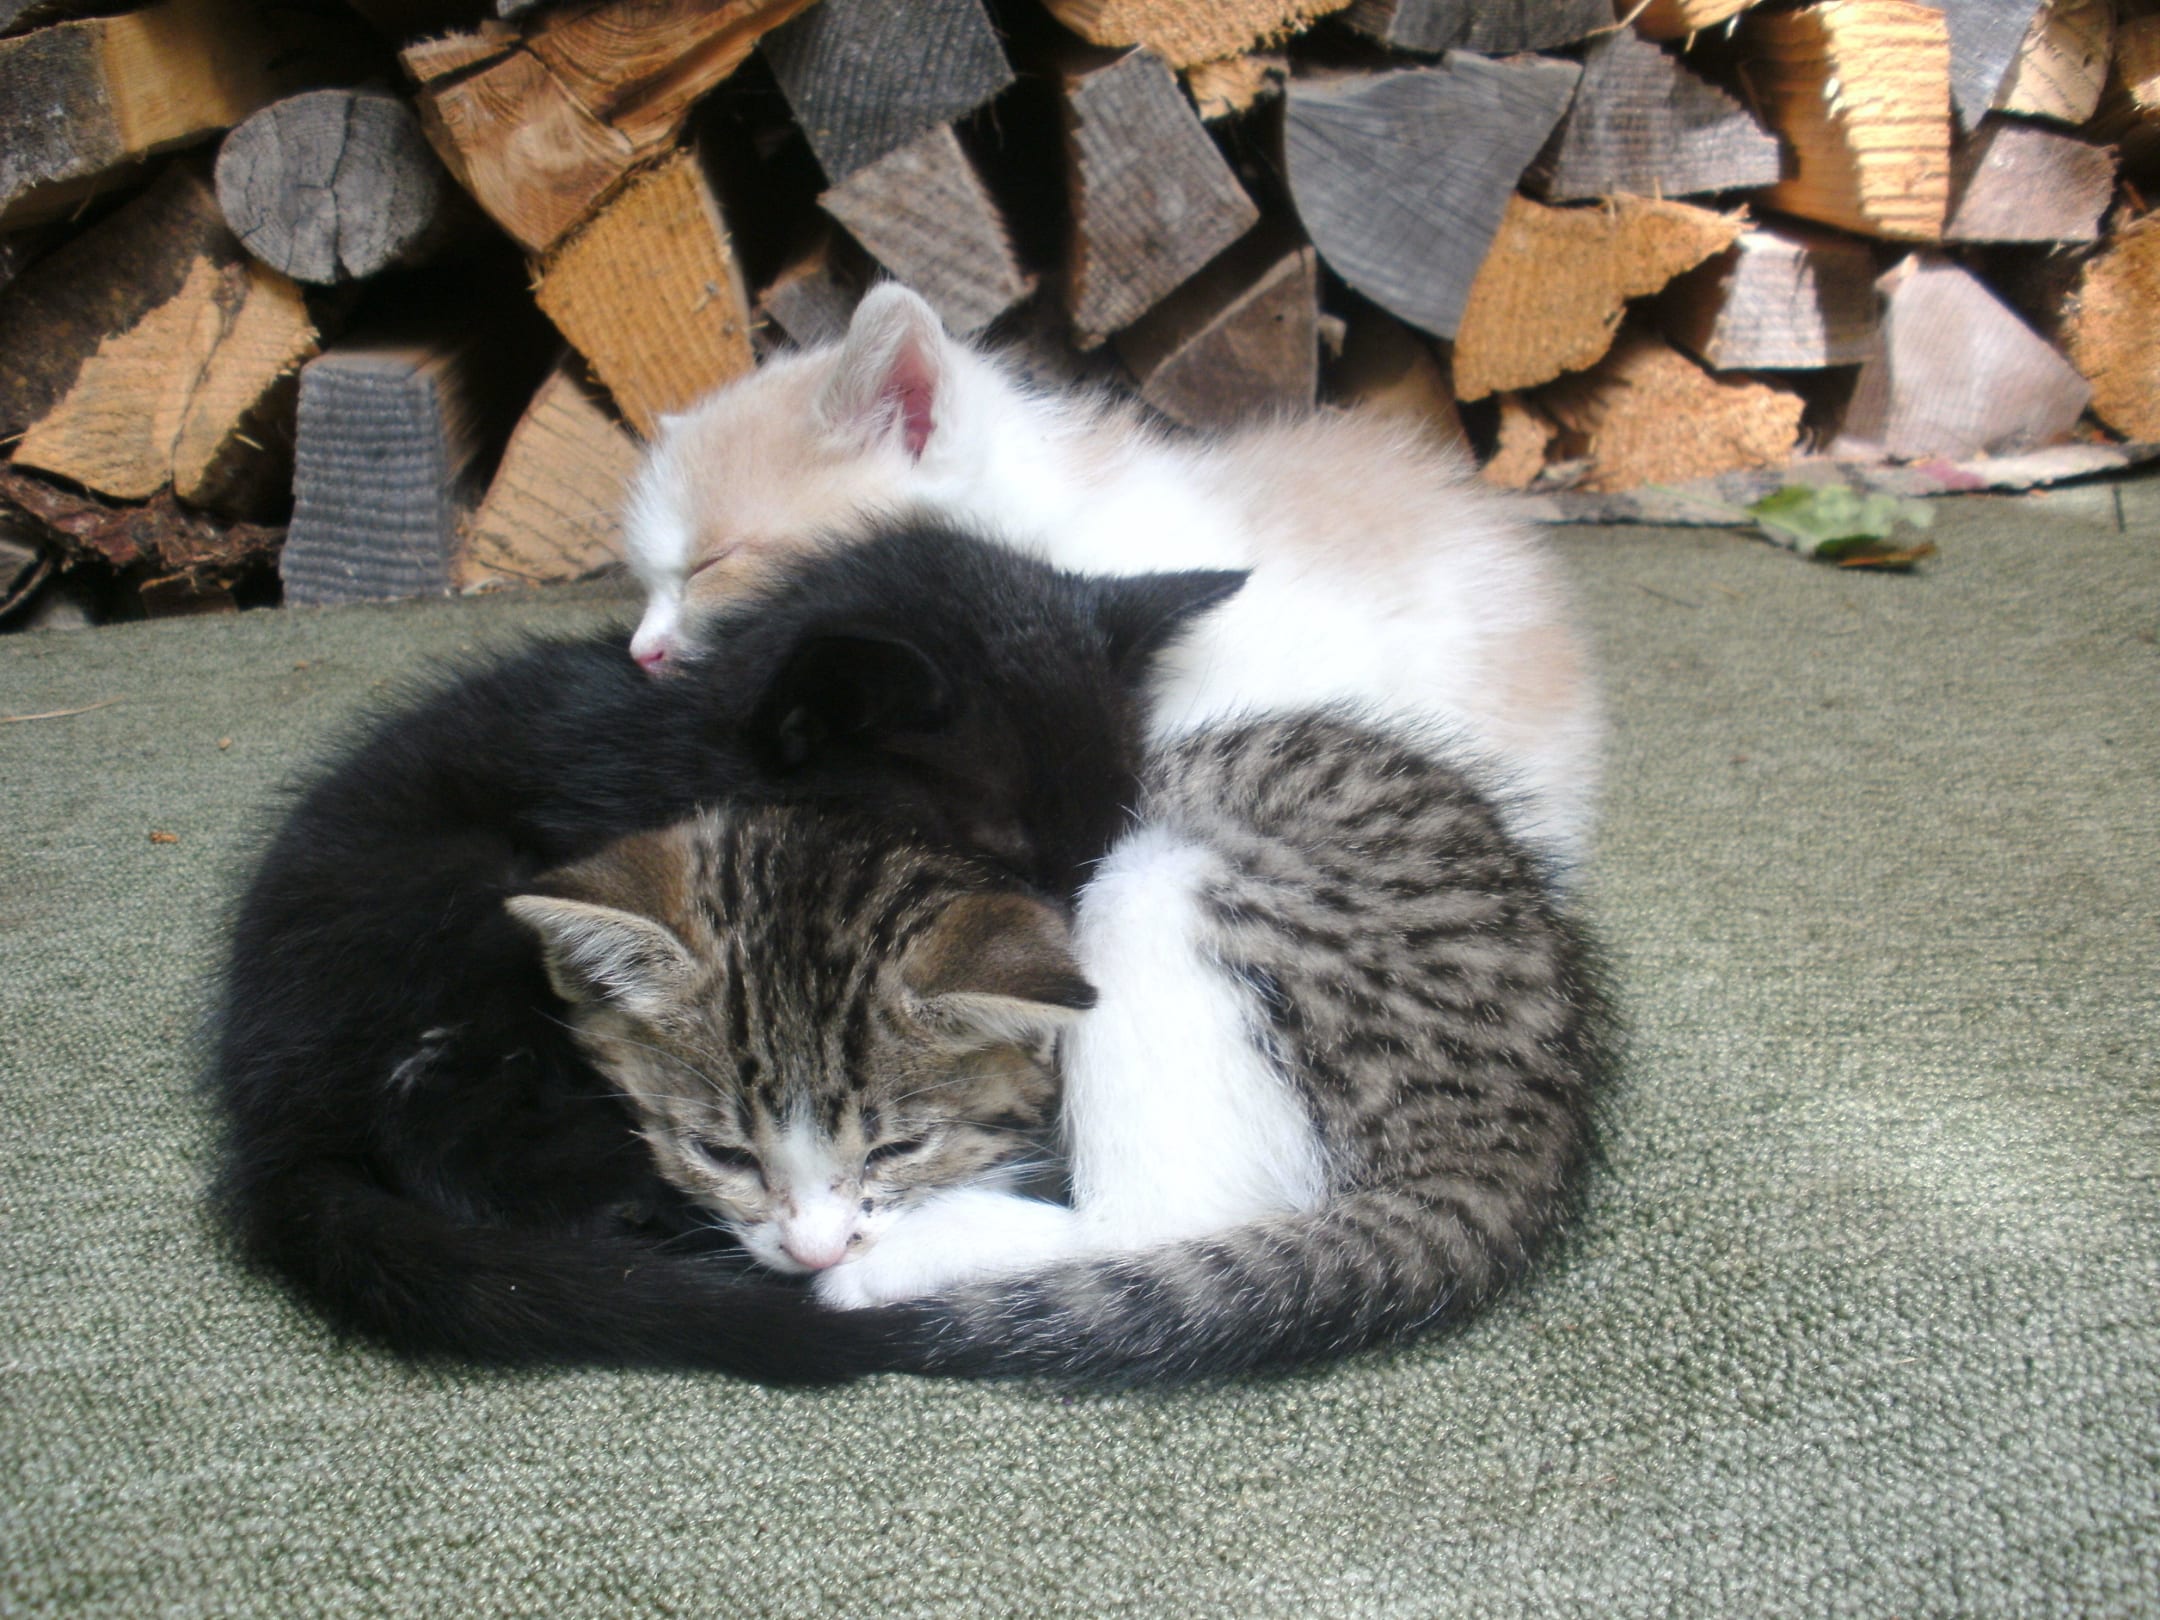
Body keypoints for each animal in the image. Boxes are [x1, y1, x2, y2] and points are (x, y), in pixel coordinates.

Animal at [212, 520, 1239, 1380]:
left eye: (1093, 863)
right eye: (992, 859)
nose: (1068, 987)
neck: (687, 747)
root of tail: (270, 1121)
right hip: (454, 908)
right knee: (449, 1136)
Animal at [514, 717, 1612, 1381]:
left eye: (897, 1150)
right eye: (722, 1154)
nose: (814, 1247)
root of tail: (1525, 1116)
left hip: (1166, 885)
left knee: (1158, 1219)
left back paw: (900, 1267)